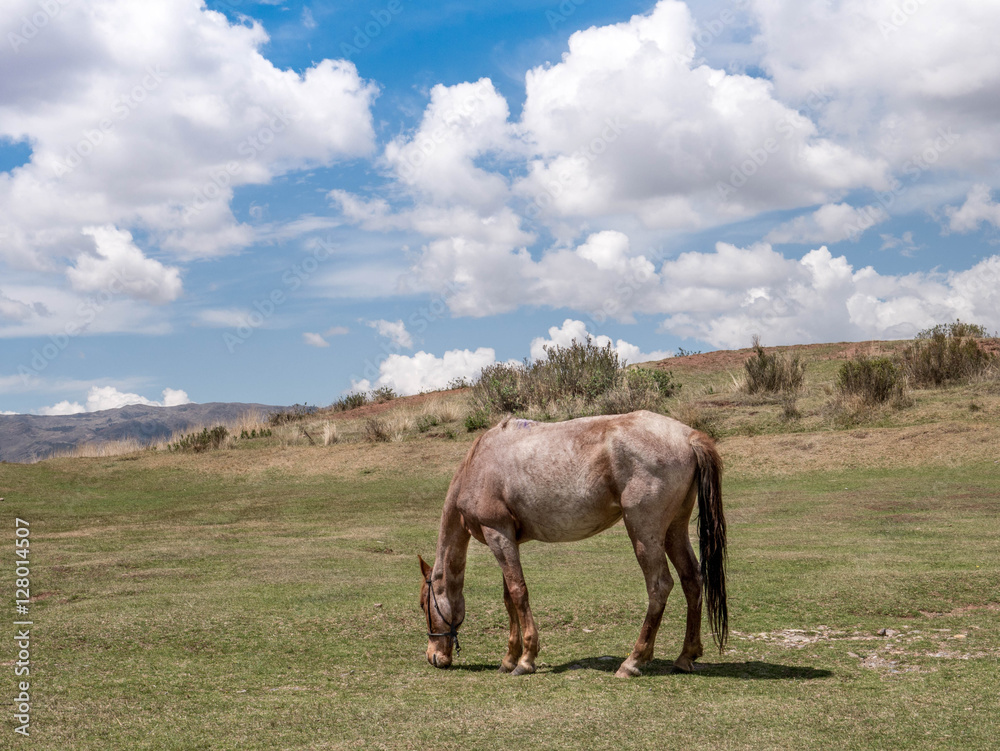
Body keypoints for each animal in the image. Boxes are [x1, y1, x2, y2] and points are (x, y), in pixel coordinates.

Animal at [416, 408, 728, 680]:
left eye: (422, 604)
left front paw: (525, 660)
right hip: (674, 530)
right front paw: (509, 658)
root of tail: (688, 435)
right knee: (692, 579)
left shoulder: (498, 535)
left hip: (644, 532)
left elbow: (518, 593)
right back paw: (686, 656)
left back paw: (633, 661)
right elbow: (509, 598)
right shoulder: (507, 540)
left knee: (660, 586)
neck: (479, 465)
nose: (433, 657)